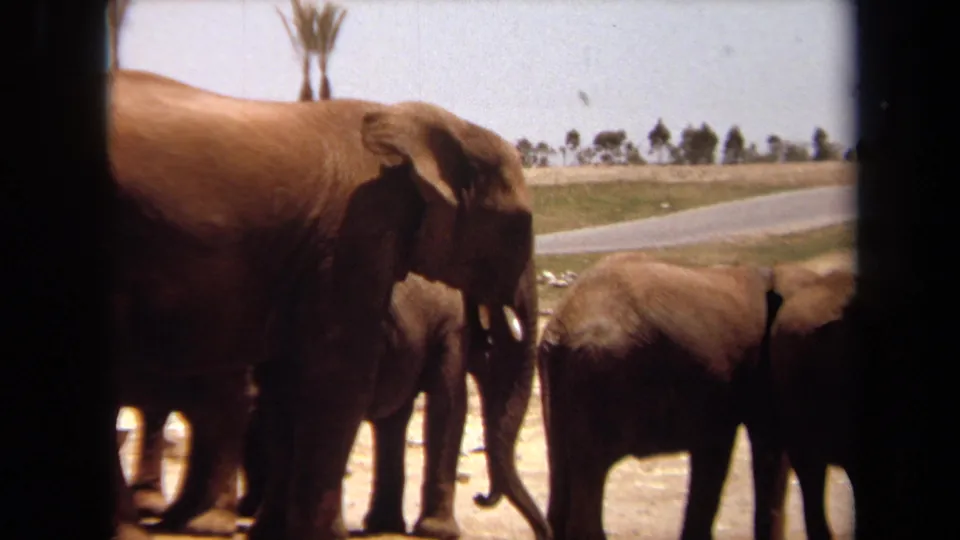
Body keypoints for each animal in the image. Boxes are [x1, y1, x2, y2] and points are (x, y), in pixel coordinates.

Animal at [108, 69, 535, 540]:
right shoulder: (355, 231)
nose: (482, 496)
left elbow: (288, 380)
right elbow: (341, 374)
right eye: (521, 225)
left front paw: (274, 533)